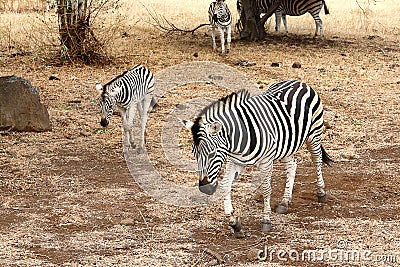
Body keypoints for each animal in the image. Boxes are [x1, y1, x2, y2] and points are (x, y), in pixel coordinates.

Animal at [181, 80, 332, 237]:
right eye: (194, 154)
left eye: (211, 153)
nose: (205, 189)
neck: (237, 140)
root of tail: (299, 82)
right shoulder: (235, 161)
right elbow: (225, 186)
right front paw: (234, 222)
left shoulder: (266, 161)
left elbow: (266, 189)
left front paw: (266, 220)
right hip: (288, 143)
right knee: (292, 165)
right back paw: (284, 202)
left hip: (314, 134)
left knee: (317, 159)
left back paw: (321, 193)